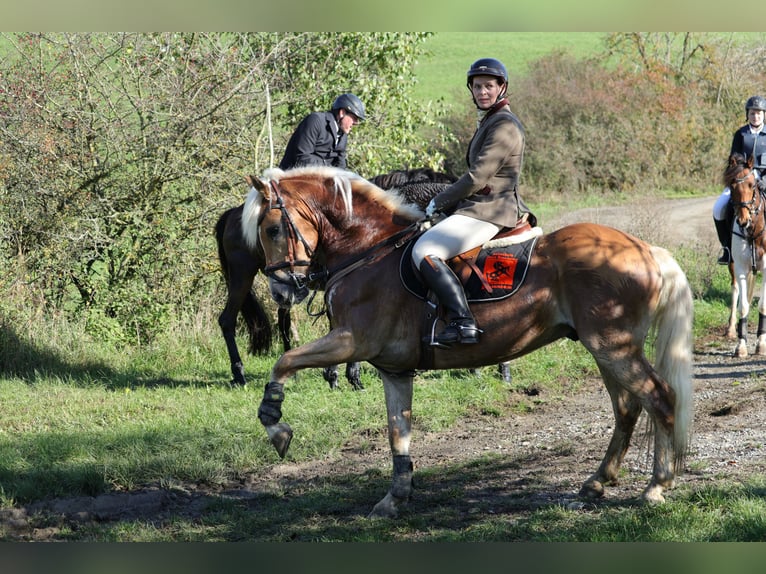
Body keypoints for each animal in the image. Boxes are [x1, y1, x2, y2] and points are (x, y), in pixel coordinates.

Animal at [242, 168, 696, 520]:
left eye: (272, 228)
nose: (282, 291)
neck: (367, 251)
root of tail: (645, 248)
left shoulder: (350, 341)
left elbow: (284, 361)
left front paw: (275, 424)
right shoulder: (393, 369)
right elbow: (397, 431)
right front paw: (395, 498)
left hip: (613, 347)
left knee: (659, 397)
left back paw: (656, 486)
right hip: (606, 349)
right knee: (627, 408)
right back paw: (597, 482)